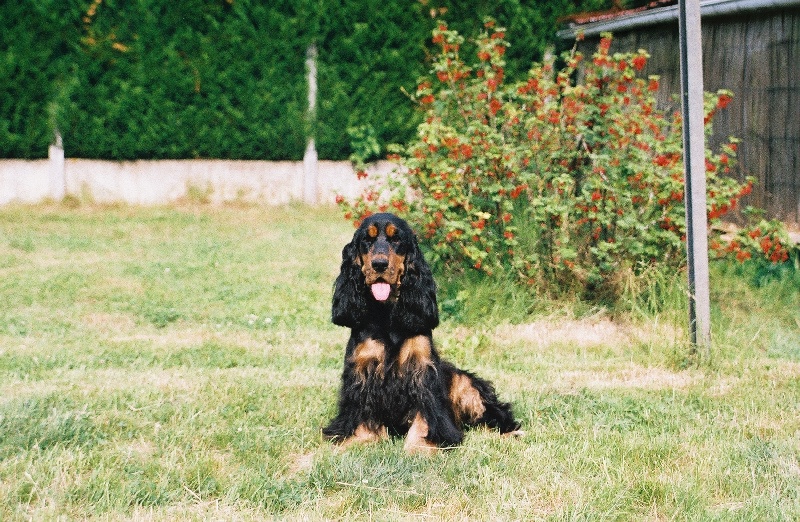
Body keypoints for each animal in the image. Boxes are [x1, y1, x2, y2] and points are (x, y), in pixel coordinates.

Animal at [322, 211, 520, 450]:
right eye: (366, 240)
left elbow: (425, 416)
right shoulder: (362, 369)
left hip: (465, 385)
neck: (388, 313)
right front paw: (358, 440)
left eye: (396, 239)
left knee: (495, 412)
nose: (379, 264)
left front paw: (420, 447)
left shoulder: (422, 371)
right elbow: (361, 415)